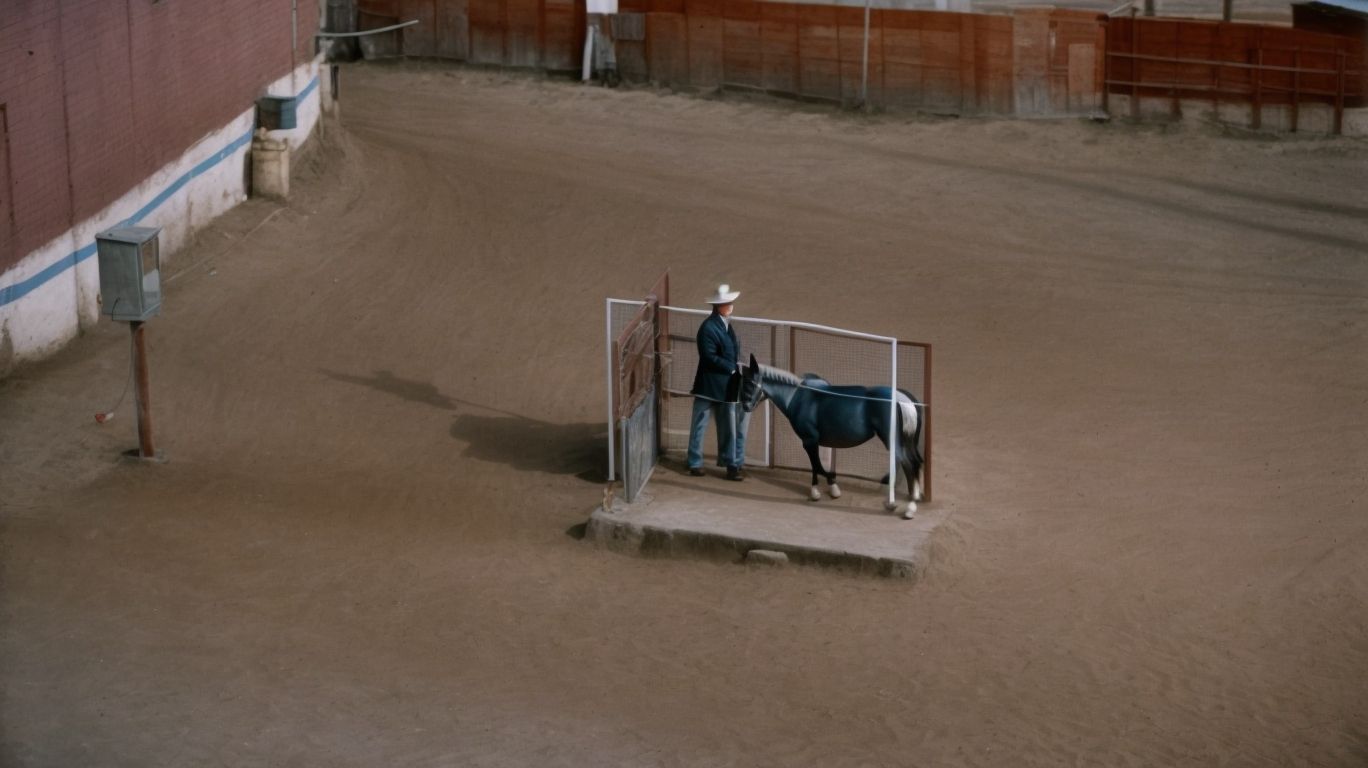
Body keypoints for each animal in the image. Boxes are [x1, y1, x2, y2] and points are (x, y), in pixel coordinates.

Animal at [739, 353, 925, 519]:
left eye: (749, 383)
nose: (745, 406)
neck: (798, 397)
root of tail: (902, 398)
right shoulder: (814, 442)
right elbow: (818, 465)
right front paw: (829, 488)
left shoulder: (809, 440)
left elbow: (817, 465)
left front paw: (821, 491)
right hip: (905, 442)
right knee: (913, 463)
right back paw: (901, 501)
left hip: (892, 440)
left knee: (909, 465)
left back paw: (909, 508)